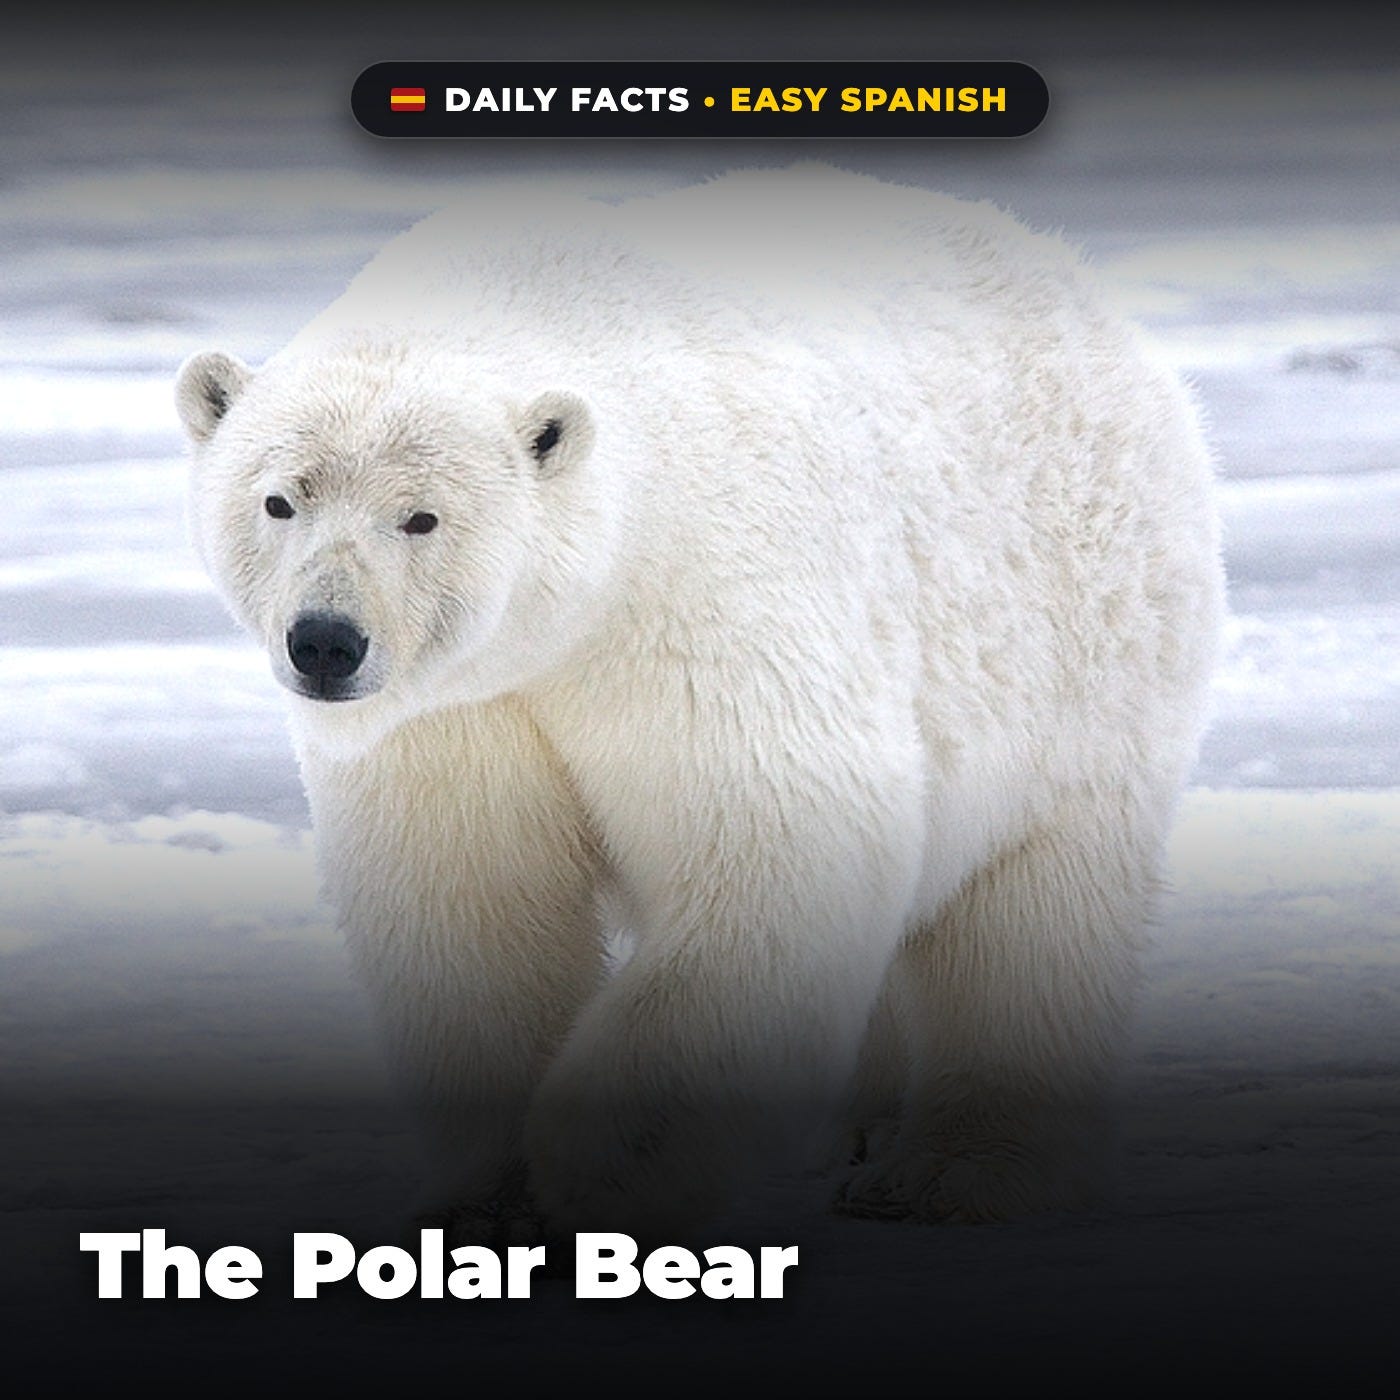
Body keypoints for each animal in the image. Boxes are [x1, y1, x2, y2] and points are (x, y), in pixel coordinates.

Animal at [176, 164, 1223, 1243]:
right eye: (279, 499)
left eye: (421, 515)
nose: (325, 641)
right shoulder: (456, 713)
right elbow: (470, 901)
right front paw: (487, 1196)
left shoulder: (701, 603)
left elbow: (773, 852)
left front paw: (599, 1176)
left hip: (1082, 643)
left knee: (1030, 910)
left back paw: (949, 1172)